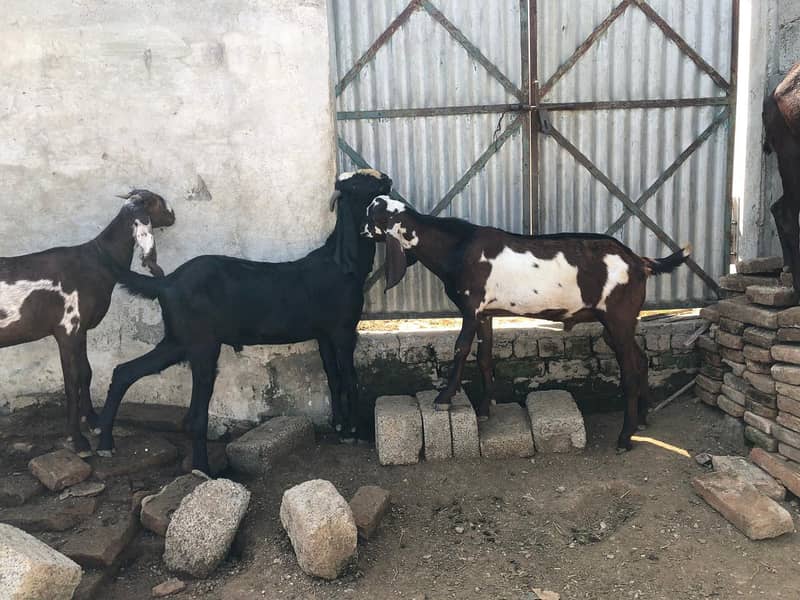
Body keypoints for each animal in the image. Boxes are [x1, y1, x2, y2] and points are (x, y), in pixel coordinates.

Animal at [0, 190, 175, 456]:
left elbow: (86, 373)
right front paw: (78, 440)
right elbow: (71, 383)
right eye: (157, 201)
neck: (97, 260)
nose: (173, 215)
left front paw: (92, 420)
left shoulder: (80, 331)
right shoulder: (67, 329)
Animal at [95, 170, 393, 474]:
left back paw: (105, 442)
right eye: (360, 184)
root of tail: (167, 284)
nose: (387, 179)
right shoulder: (343, 331)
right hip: (202, 345)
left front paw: (340, 426)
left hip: (177, 341)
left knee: (124, 372)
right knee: (196, 416)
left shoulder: (324, 334)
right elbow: (350, 378)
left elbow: (333, 377)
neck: (340, 262)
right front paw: (356, 432)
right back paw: (202, 468)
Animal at [364, 195, 691, 451]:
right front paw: (485, 409)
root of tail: (640, 262)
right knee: (642, 358)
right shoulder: (485, 313)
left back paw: (625, 437)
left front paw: (444, 398)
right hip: (620, 323)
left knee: (631, 370)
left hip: (618, 319)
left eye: (371, 215)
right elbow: (484, 357)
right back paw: (643, 419)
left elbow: (460, 349)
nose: (362, 230)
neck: (457, 248)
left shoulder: (471, 308)